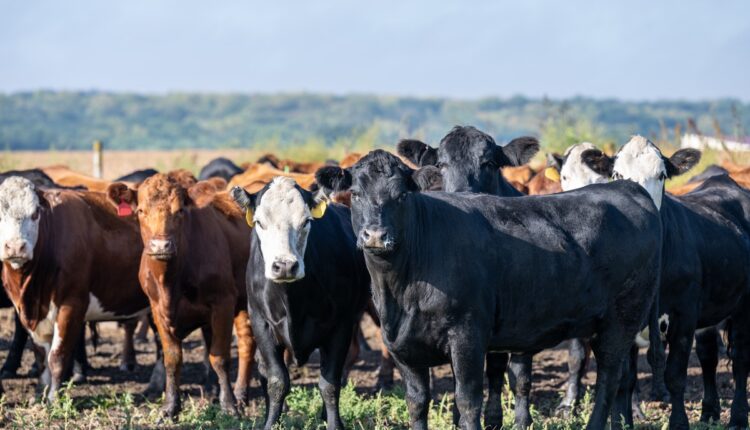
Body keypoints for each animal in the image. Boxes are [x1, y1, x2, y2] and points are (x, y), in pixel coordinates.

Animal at [0, 177, 151, 400]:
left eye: (35, 213)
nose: (16, 247)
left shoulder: (70, 305)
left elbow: (56, 356)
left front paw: (53, 398)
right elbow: (40, 357)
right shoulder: (27, 313)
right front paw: (39, 394)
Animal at [106, 174, 255, 419]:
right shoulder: (157, 309)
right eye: (141, 211)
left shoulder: (222, 302)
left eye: (180, 211)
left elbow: (219, 357)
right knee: (246, 343)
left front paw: (228, 406)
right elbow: (172, 359)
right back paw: (239, 395)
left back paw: (240, 397)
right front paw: (170, 407)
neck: (171, 281)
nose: (161, 245)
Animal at [231, 177, 370, 430]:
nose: (285, 265)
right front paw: (270, 424)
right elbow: (277, 381)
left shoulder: (341, 326)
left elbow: (329, 384)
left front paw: (334, 424)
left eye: (306, 221)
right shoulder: (261, 323)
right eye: (259, 222)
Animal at [570, 136, 750, 429]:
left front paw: (678, 423)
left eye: (662, 175)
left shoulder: (684, 315)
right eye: (617, 174)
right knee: (709, 356)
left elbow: (675, 375)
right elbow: (625, 379)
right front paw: (623, 422)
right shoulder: (624, 315)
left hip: (744, 307)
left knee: (741, 358)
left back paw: (737, 417)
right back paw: (710, 411)